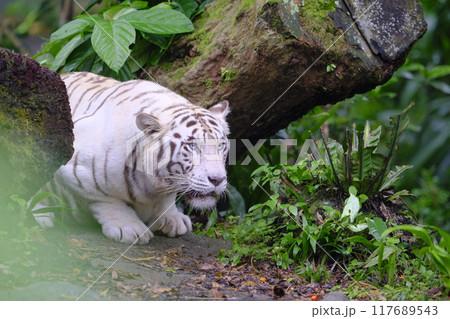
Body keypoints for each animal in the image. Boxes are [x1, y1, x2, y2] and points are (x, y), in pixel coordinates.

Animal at [32, 72, 230, 245]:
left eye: (220, 145)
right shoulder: (74, 166)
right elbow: (107, 200)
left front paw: (171, 218)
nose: (218, 179)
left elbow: (167, 198)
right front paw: (128, 228)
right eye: (192, 146)